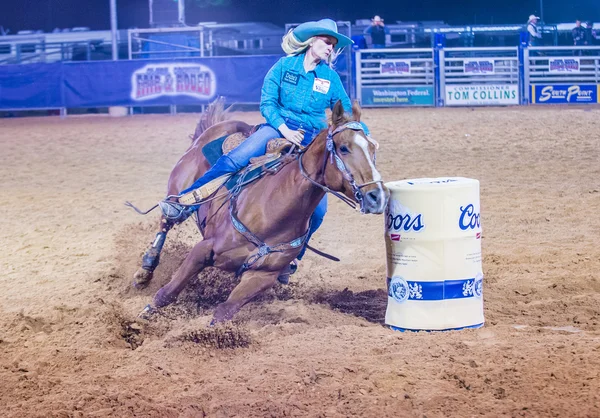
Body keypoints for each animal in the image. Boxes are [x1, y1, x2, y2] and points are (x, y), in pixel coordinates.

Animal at [131, 99, 390, 324]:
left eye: (373, 148)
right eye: (344, 148)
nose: (377, 197)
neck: (272, 212)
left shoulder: (261, 277)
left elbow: (224, 312)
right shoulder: (203, 250)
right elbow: (168, 292)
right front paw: (142, 318)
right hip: (178, 188)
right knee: (166, 221)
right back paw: (146, 269)